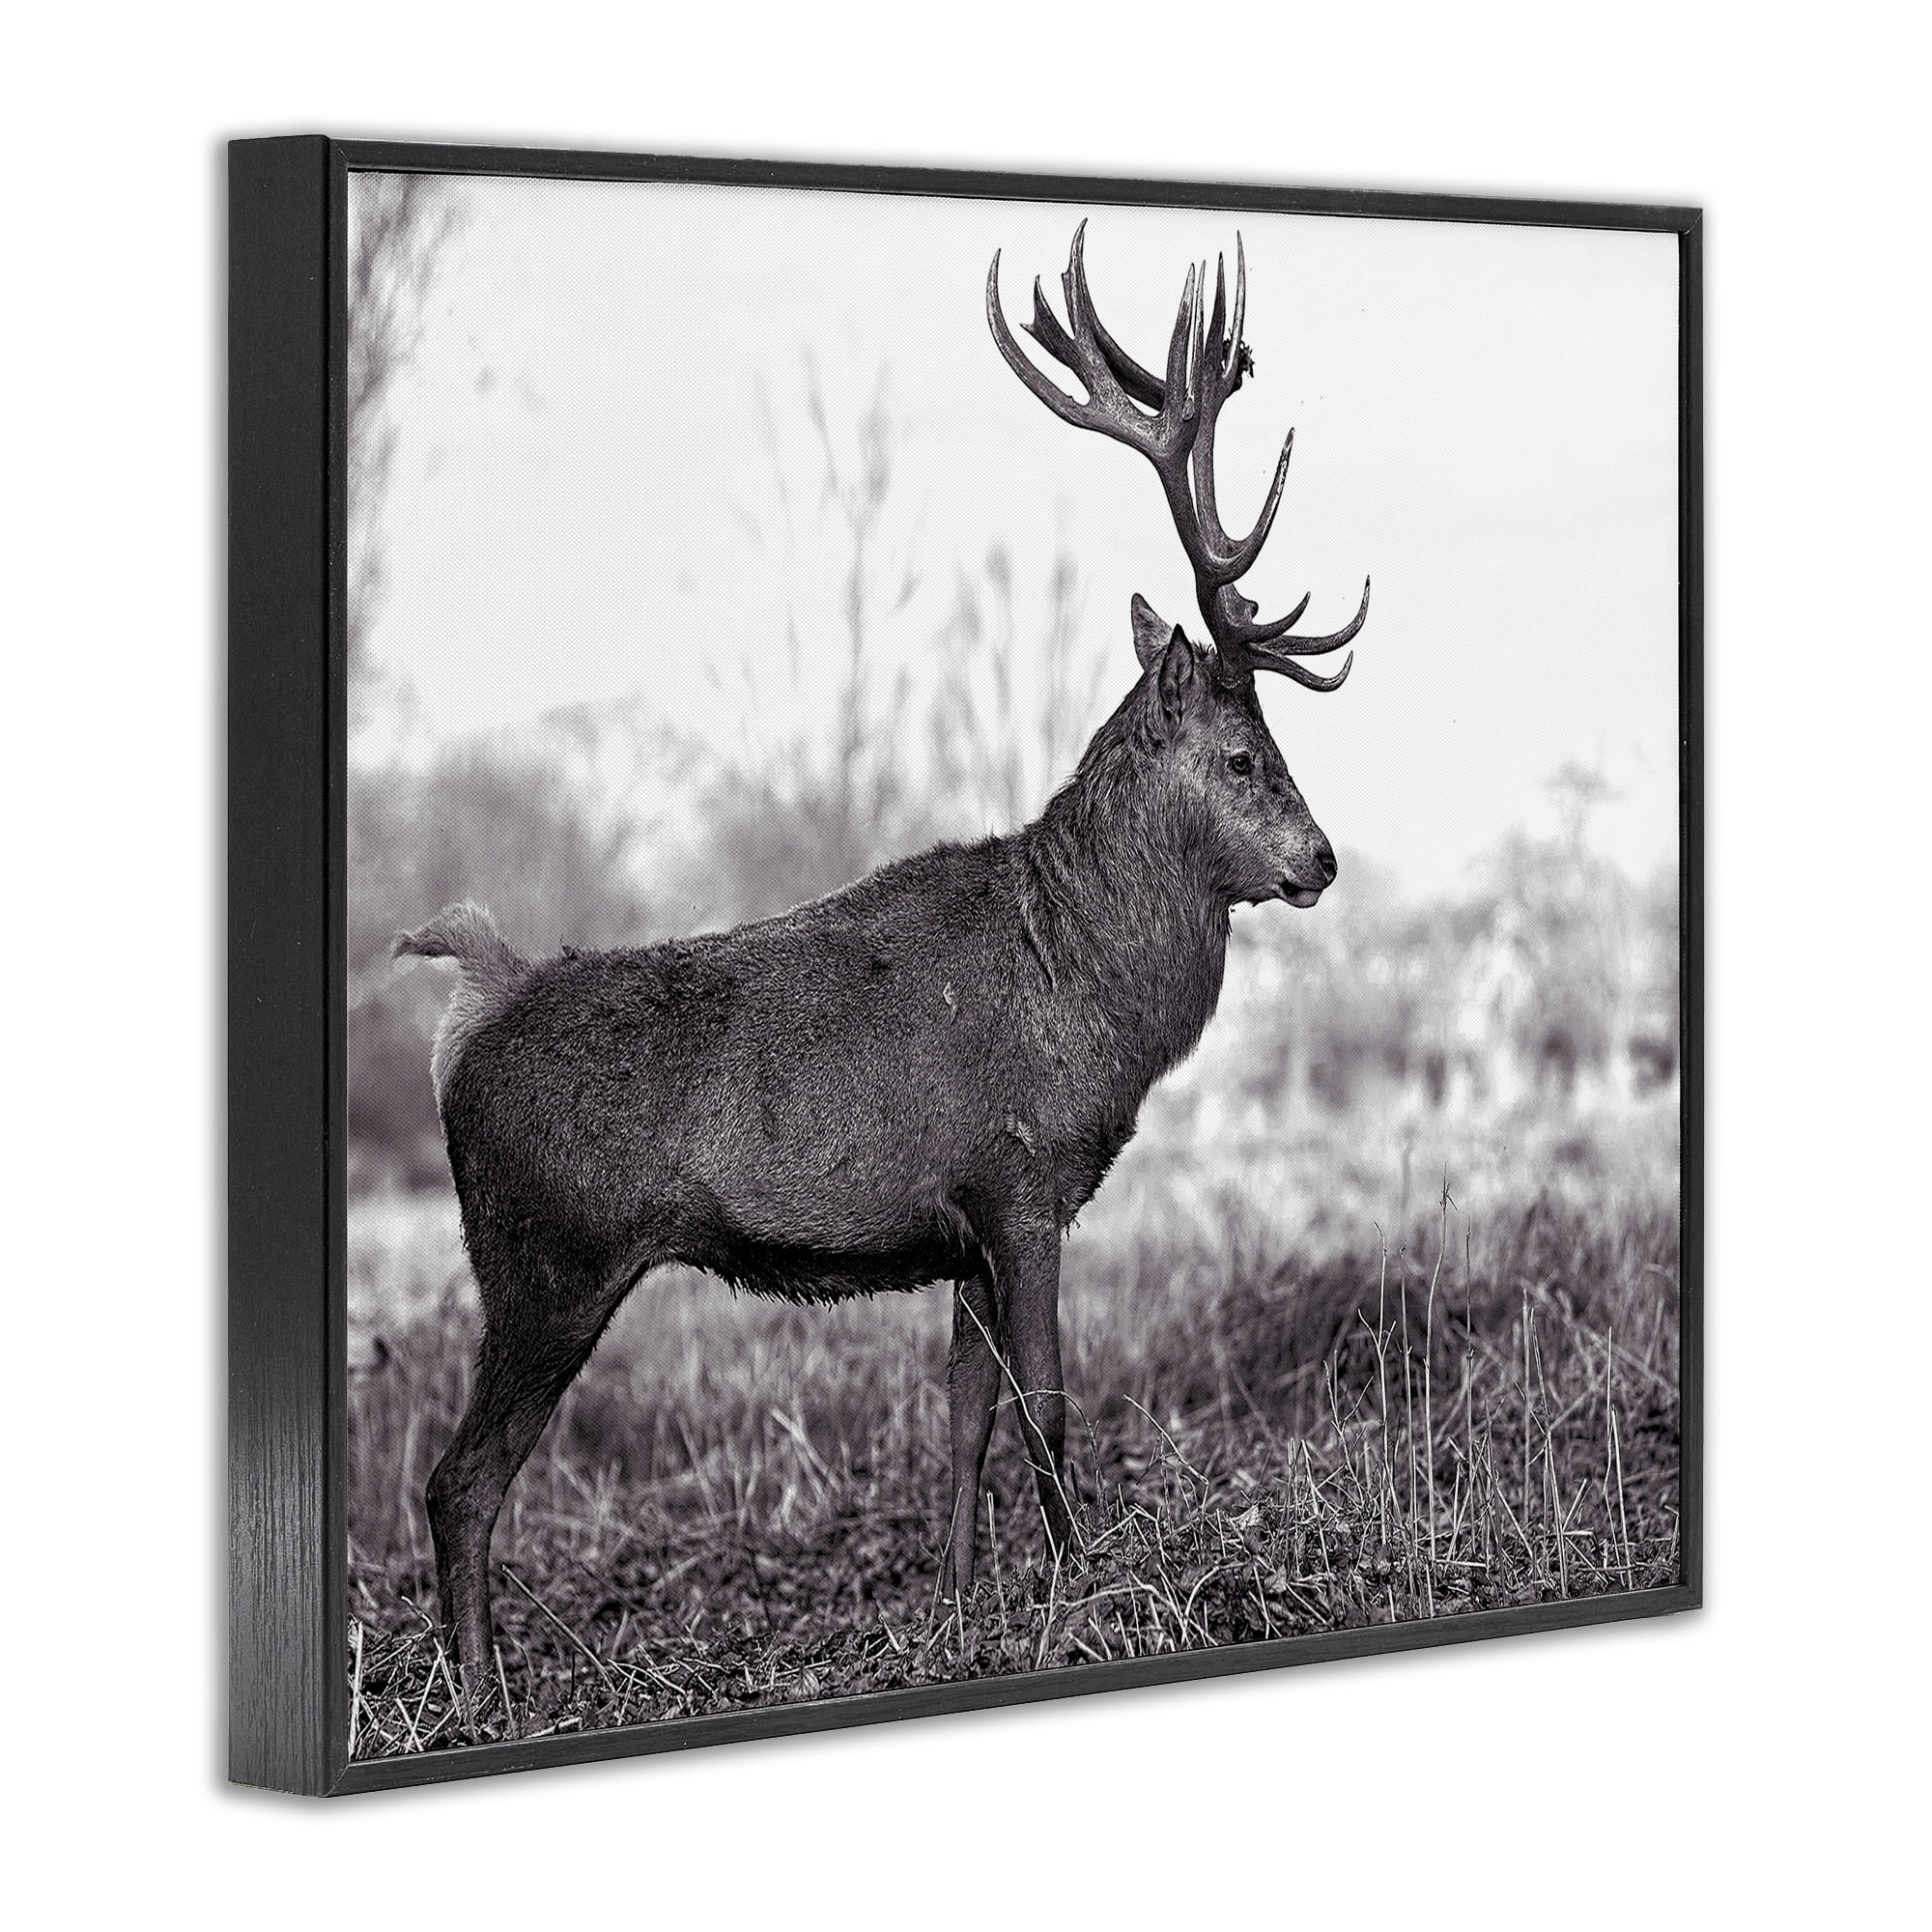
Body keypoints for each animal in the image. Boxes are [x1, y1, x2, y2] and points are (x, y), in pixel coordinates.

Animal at [393, 221, 1369, 1706]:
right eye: (1246, 755)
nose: (1320, 861)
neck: (1088, 997)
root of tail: (469, 1007)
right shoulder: (1023, 1185)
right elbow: (1047, 1406)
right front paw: (1083, 1593)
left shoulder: (957, 1223)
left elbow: (960, 1415)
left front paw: (959, 1608)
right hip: (543, 1257)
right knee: (458, 1481)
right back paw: (481, 1696)